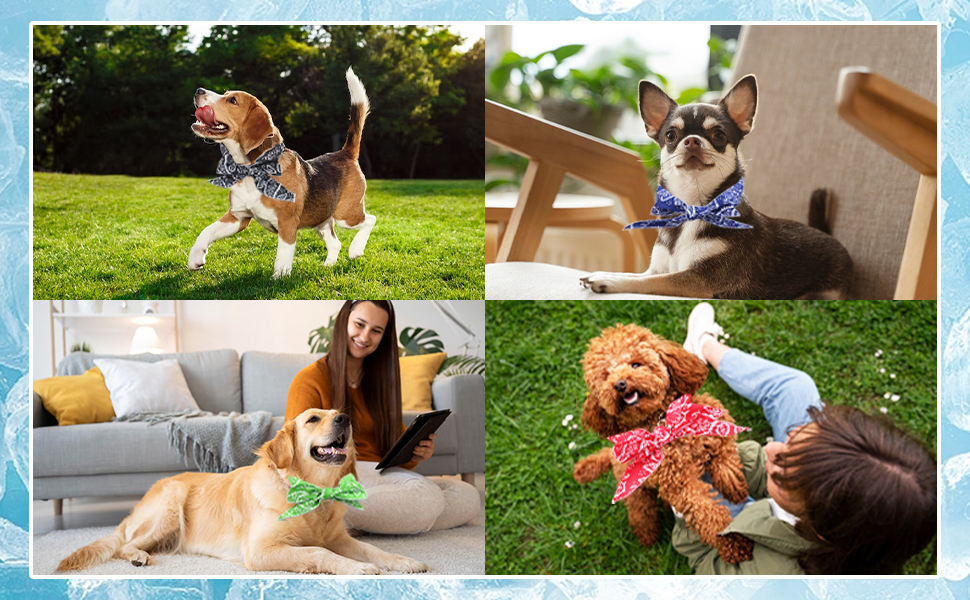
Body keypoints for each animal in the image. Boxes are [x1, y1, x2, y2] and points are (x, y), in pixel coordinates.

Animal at [572, 324, 752, 564]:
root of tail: (611, 454)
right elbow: (707, 514)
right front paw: (734, 543)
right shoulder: (679, 483)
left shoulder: (714, 421)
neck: (662, 422)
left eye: (636, 364)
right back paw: (648, 536)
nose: (619, 384)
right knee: (641, 513)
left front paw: (734, 486)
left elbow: (724, 455)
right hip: (637, 492)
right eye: (606, 375)